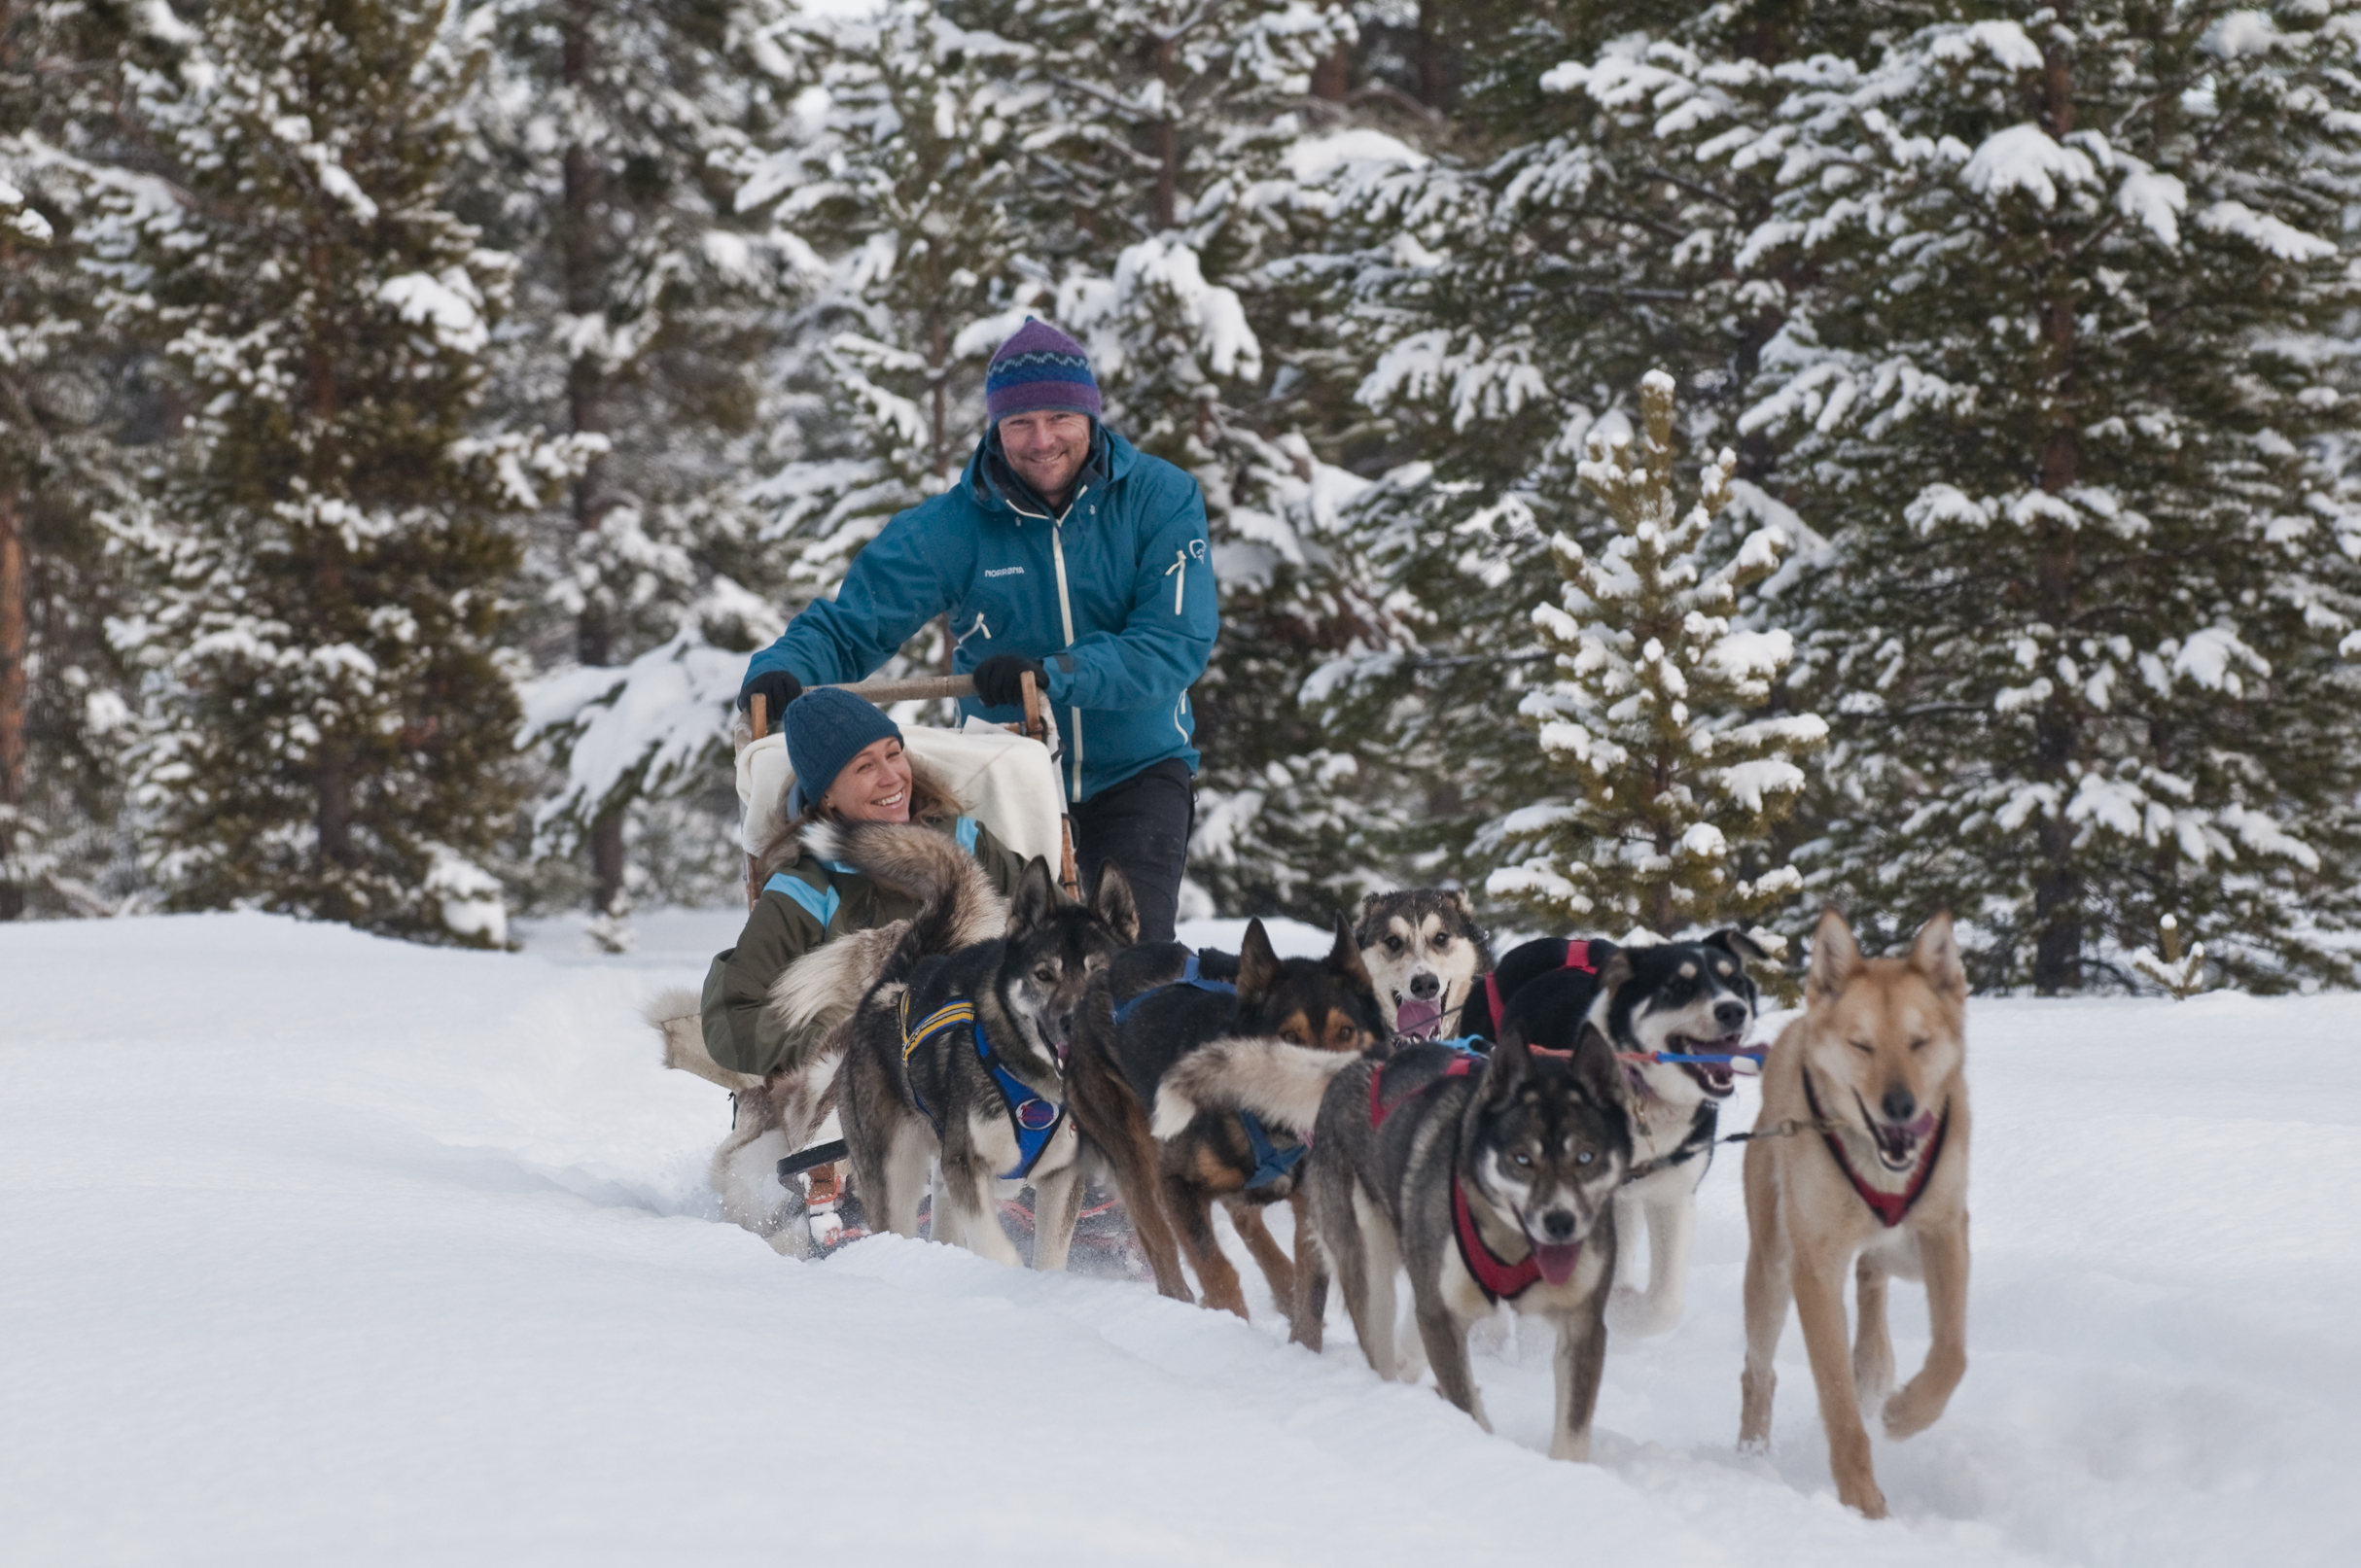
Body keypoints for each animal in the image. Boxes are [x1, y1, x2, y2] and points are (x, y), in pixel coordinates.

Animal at [1738, 906, 1973, 1520]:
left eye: (1919, 1042)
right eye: (1862, 1045)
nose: (1901, 1106)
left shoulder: (1945, 1233)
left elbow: (1952, 1353)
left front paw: (1906, 1412)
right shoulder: (1814, 1270)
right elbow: (1839, 1403)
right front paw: (1862, 1502)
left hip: (1894, 1253)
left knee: (1872, 1284)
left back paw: (1875, 1368)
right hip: (1770, 1270)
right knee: (1758, 1372)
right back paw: (1751, 1456)